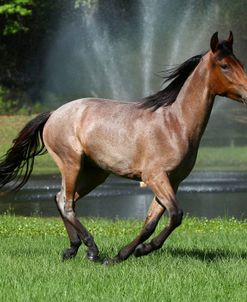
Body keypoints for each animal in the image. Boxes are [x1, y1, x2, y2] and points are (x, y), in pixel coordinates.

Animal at [0, 31, 247, 264]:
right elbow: (176, 215)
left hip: (95, 173)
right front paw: (136, 251)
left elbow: (150, 223)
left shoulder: (172, 181)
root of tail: (53, 114)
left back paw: (73, 248)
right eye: (225, 65)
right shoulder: (155, 177)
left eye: (239, 62)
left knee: (61, 198)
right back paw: (92, 250)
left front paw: (125, 254)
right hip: (71, 164)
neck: (175, 124)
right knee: (67, 203)